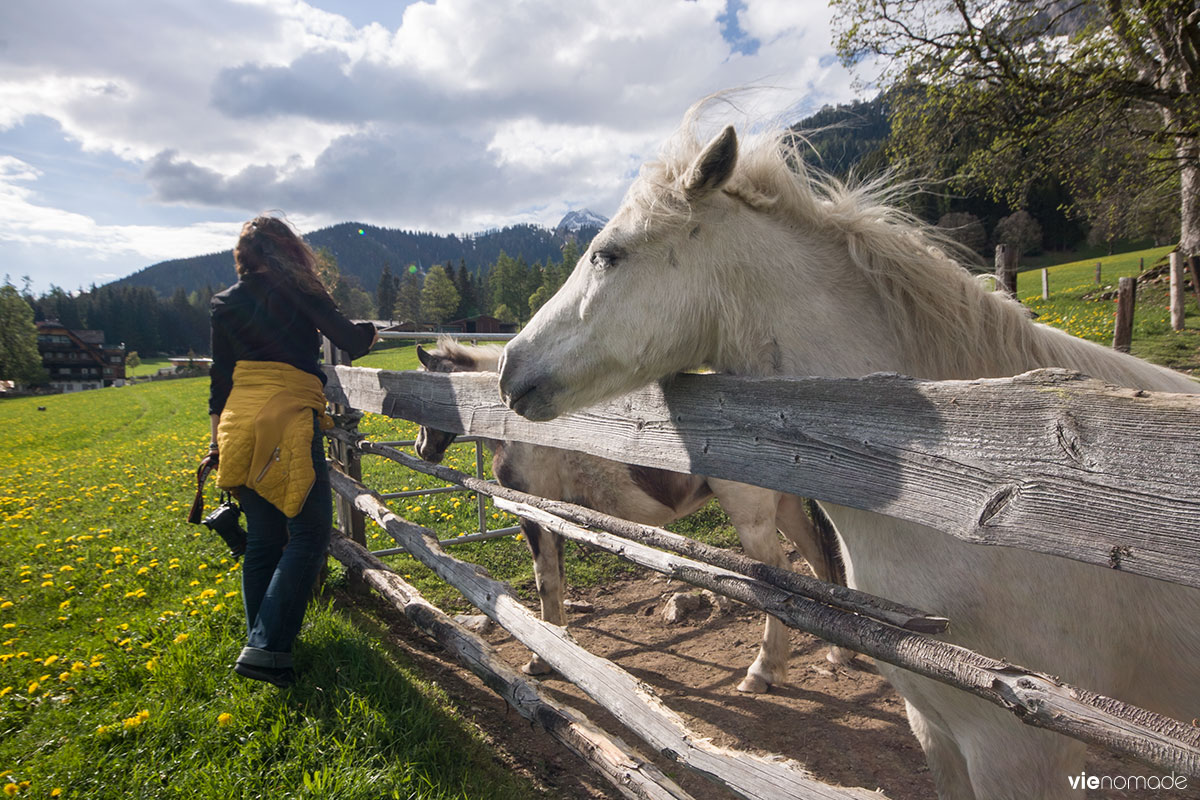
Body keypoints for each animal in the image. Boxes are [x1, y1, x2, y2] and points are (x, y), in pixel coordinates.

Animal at [417, 338, 849, 690]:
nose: (423, 448)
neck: (516, 426)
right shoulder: (554, 515)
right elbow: (556, 582)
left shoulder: (533, 513)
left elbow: (546, 583)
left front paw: (541, 657)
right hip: (785, 508)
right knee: (818, 560)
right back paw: (837, 652)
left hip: (752, 518)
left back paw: (763, 671)